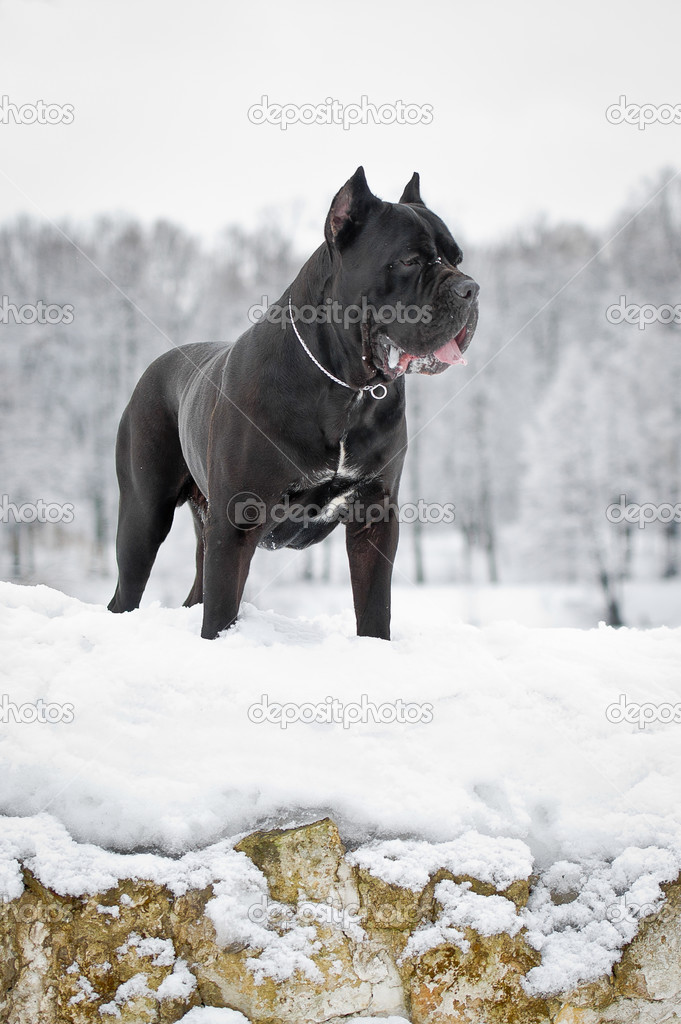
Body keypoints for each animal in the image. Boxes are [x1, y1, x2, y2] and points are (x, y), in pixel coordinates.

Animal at [107, 167, 477, 638]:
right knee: (125, 594)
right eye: (410, 260)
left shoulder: (375, 515)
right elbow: (221, 611)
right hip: (144, 514)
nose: (471, 288)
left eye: (457, 259)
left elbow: (375, 606)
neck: (346, 386)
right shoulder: (237, 521)